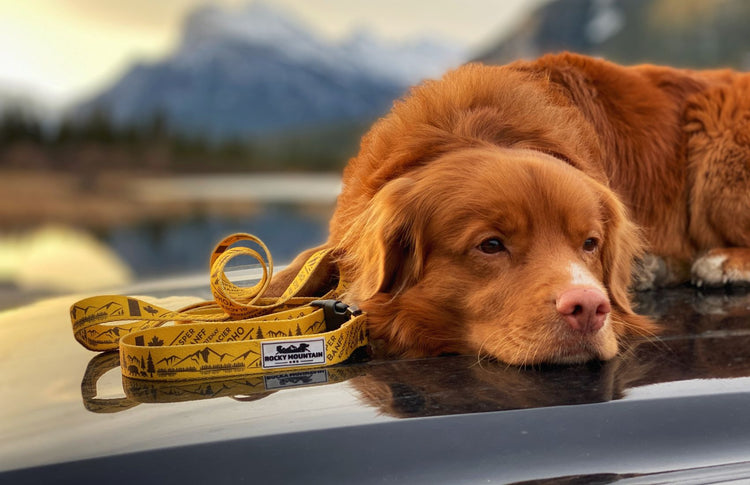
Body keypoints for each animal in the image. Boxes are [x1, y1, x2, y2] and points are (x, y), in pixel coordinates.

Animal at [272, 52, 750, 364]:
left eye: (590, 243)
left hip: (717, 150)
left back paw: (721, 262)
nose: (590, 308)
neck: (475, 130)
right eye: (491, 245)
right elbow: (302, 265)